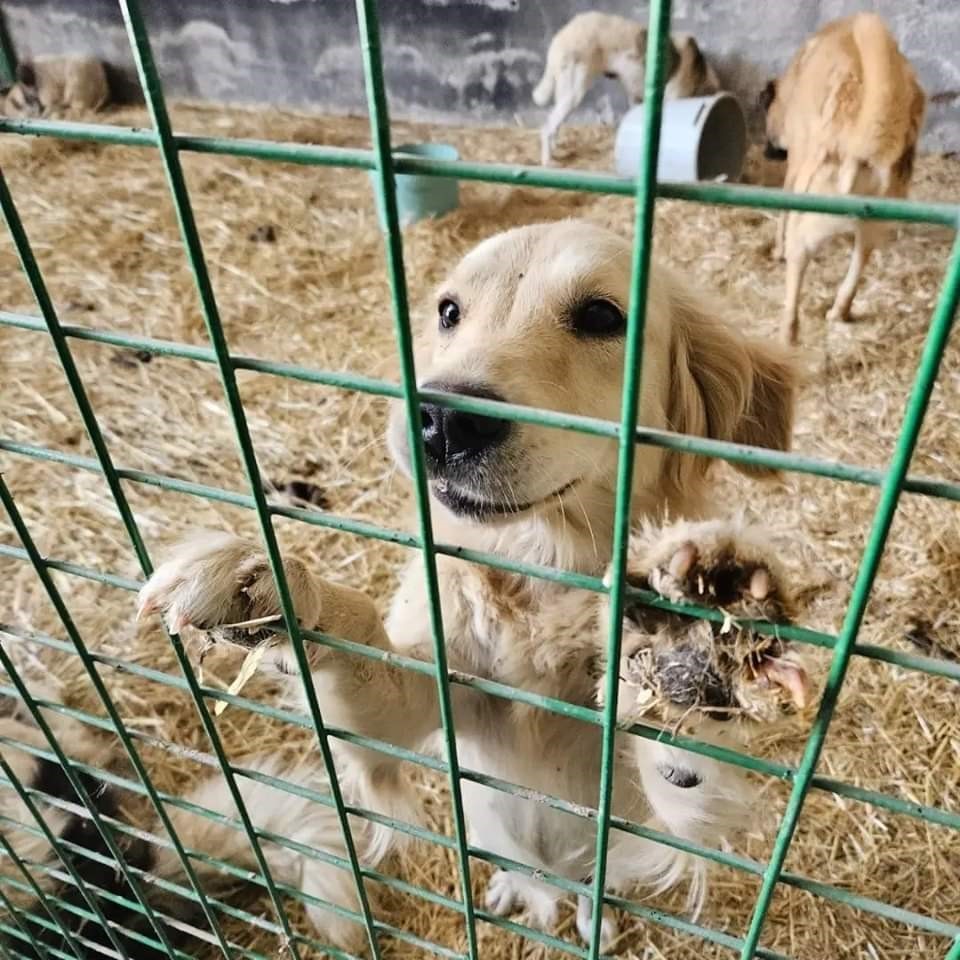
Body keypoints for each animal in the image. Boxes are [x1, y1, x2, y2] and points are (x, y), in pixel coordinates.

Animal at [0, 221, 812, 956]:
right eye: (449, 311)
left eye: (602, 316)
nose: (442, 418)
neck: (540, 569)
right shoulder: (421, 698)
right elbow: (356, 637)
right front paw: (262, 579)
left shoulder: (660, 813)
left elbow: (679, 762)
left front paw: (694, 635)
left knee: (584, 884)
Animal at [532, 12, 720, 166]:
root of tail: (562, 34)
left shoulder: (637, 101)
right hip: (574, 94)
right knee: (547, 129)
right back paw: (548, 162)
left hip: (565, 94)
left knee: (554, 127)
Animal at [760, 14, 928, 344]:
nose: (766, 150)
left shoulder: (796, 166)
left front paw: (776, 250)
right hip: (875, 224)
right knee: (861, 257)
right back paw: (840, 309)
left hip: (809, 220)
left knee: (798, 266)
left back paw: (787, 334)